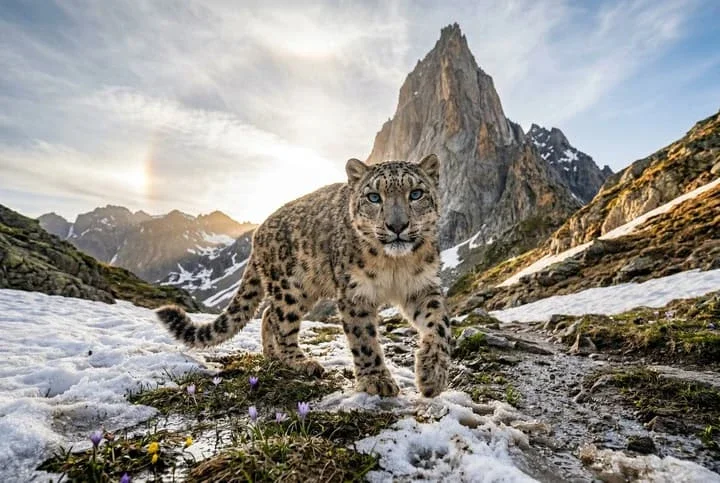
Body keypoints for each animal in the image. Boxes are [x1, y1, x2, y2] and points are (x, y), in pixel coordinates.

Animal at [156, 154, 451, 397]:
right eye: (374, 197)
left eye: (416, 193)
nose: (397, 226)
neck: (395, 265)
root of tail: (257, 233)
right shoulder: (355, 293)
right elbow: (364, 339)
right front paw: (376, 380)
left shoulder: (423, 286)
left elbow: (439, 326)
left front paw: (432, 376)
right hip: (291, 287)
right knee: (280, 321)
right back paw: (301, 362)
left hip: (306, 288)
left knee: (268, 315)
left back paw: (272, 355)